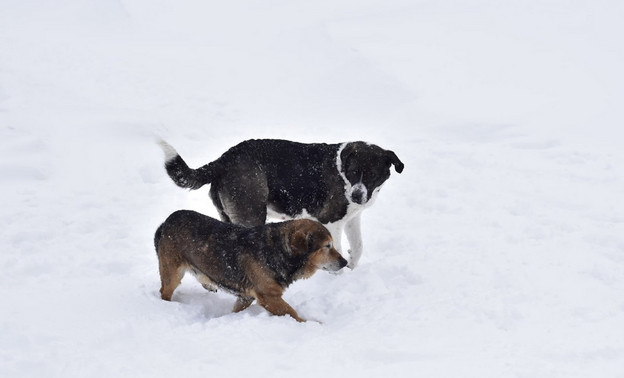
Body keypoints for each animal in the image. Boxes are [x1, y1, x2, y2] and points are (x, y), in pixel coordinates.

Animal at [154, 210, 348, 322]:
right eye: (327, 246)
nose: (345, 262)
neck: (278, 249)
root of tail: (166, 221)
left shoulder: (246, 297)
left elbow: (236, 309)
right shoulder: (269, 297)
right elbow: (292, 313)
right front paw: (311, 324)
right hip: (172, 273)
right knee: (164, 291)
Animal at [160, 140, 404, 268]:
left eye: (372, 175)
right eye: (353, 172)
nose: (356, 196)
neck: (342, 169)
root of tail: (223, 159)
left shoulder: (353, 218)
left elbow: (359, 247)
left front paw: (352, 265)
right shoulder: (331, 220)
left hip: (228, 214)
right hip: (251, 213)